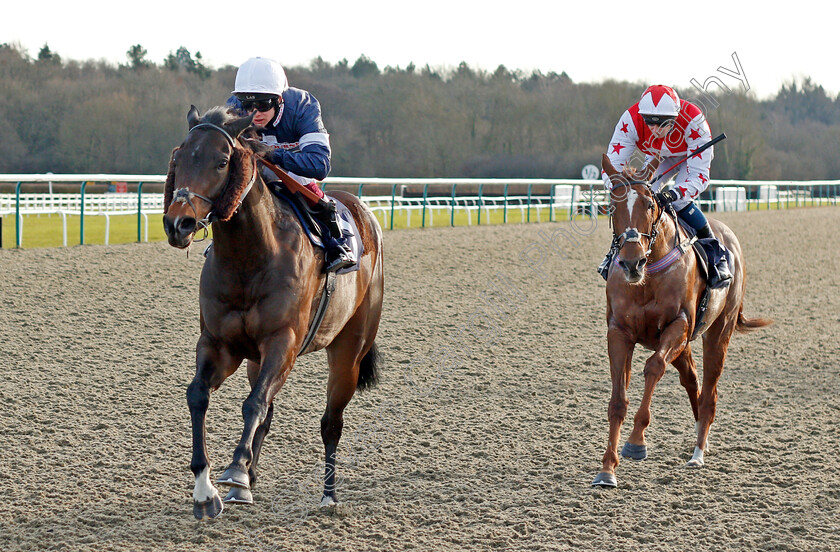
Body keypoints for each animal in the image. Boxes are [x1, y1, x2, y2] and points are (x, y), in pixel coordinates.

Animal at [162, 105, 384, 520]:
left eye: (221, 161)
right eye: (178, 158)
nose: (177, 223)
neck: (250, 258)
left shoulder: (284, 343)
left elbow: (254, 403)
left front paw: (235, 469)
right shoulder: (220, 344)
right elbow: (199, 395)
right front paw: (207, 490)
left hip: (349, 351)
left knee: (331, 422)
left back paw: (328, 496)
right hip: (255, 358)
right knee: (266, 412)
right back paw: (246, 484)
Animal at [592, 154, 772, 488]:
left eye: (650, 204)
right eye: (612, 205)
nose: (631, 262)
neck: (648, 277)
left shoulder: (679, 325)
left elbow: (653, 368)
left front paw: (636, 441)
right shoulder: (619, 332)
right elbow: (618, 399)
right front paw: (607, 469)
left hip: (717, 331)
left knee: (709, 392)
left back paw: (698, 452)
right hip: (684, 346)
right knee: (693, 382)